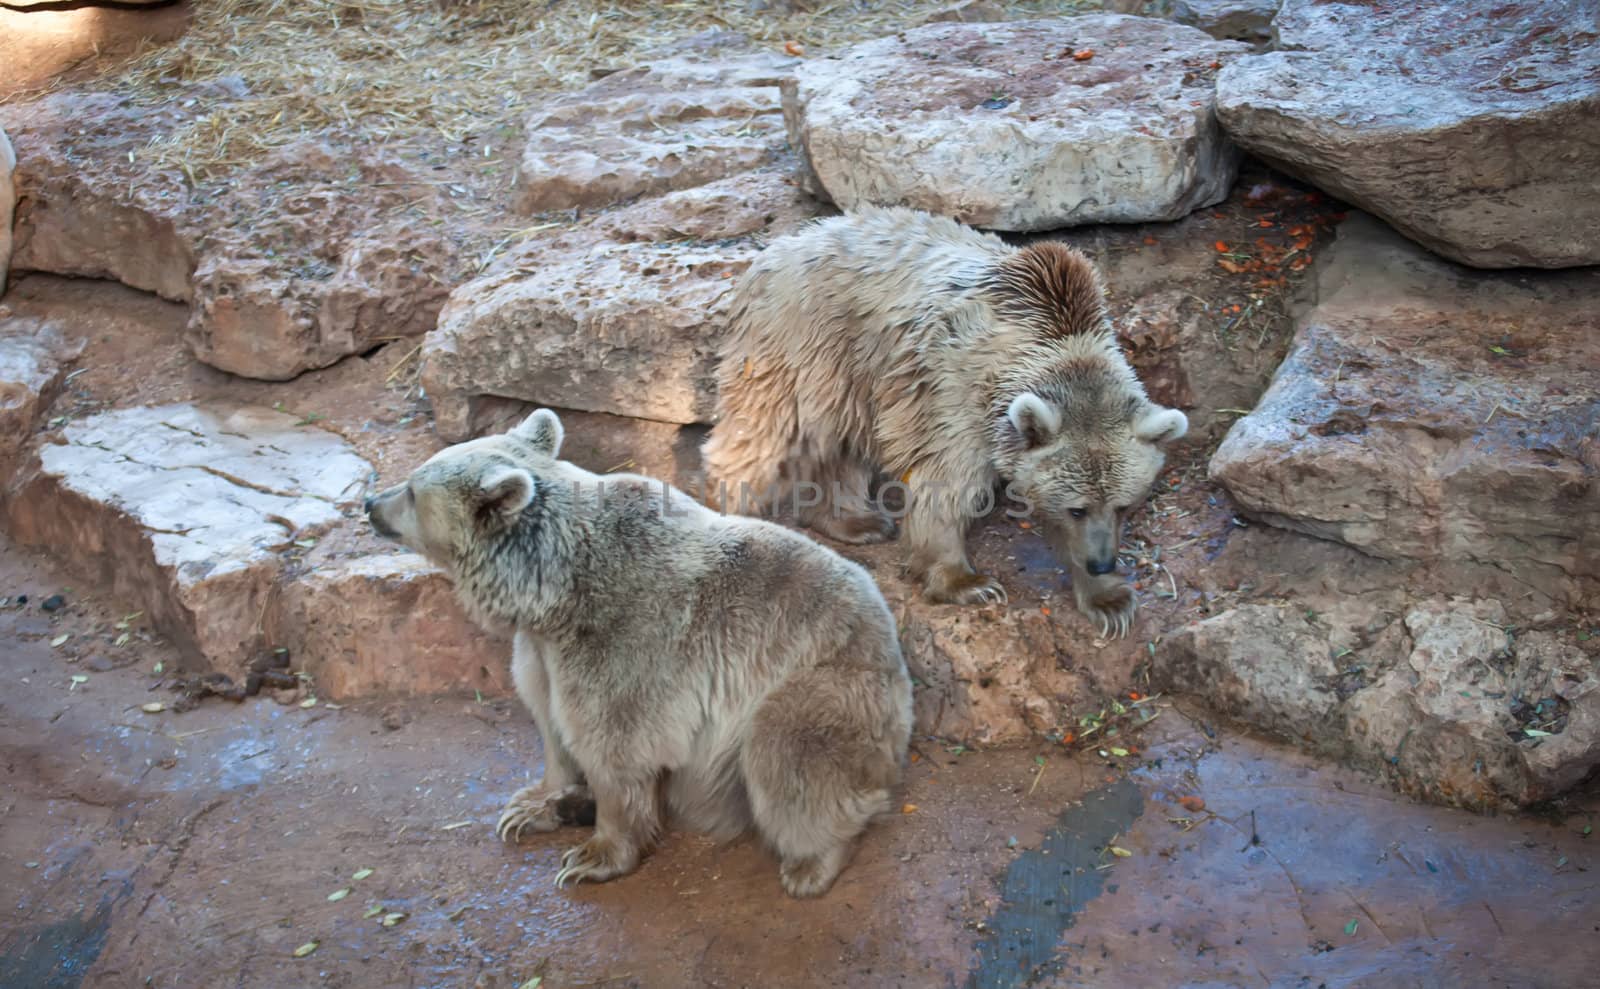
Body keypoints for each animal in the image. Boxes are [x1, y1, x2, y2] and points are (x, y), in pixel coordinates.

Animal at [366, 408, 915, 896]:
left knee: (788, 759)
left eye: (411, 491)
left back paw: (812, 863)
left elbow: (615, 746)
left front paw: (593, 856)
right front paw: (533, 805)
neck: (553, 595)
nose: (371, 501)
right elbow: (550, 722)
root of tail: (891, 644)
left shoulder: (625, 643)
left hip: (827, 687)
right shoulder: (541, 653)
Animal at [704, 208, 1190, 640]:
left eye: (1124, 505)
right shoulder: (955, 391)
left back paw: (857, 521)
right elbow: (947, 482)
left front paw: (1110, 600)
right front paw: (968, 582)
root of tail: (776, 249)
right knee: (764, 433)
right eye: (1077, 508)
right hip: (800, 344)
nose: (1102, 562)